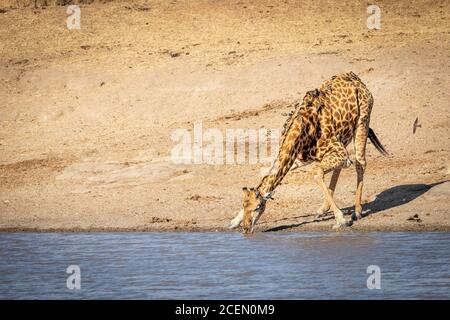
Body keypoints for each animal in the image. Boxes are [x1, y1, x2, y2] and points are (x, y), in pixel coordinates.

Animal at [230, 72, 388, 232]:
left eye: (257, 207)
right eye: (244, 205)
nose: (246, 228)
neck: (301, 131)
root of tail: (357, 79)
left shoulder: (338, 152)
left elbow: (316, 174)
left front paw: (341, 219)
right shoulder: (297, 159)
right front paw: (234, 221)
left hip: (362, 121)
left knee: (360, 162)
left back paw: (357, 211)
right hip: (343, 138)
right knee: (343, 166)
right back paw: (322, 210)